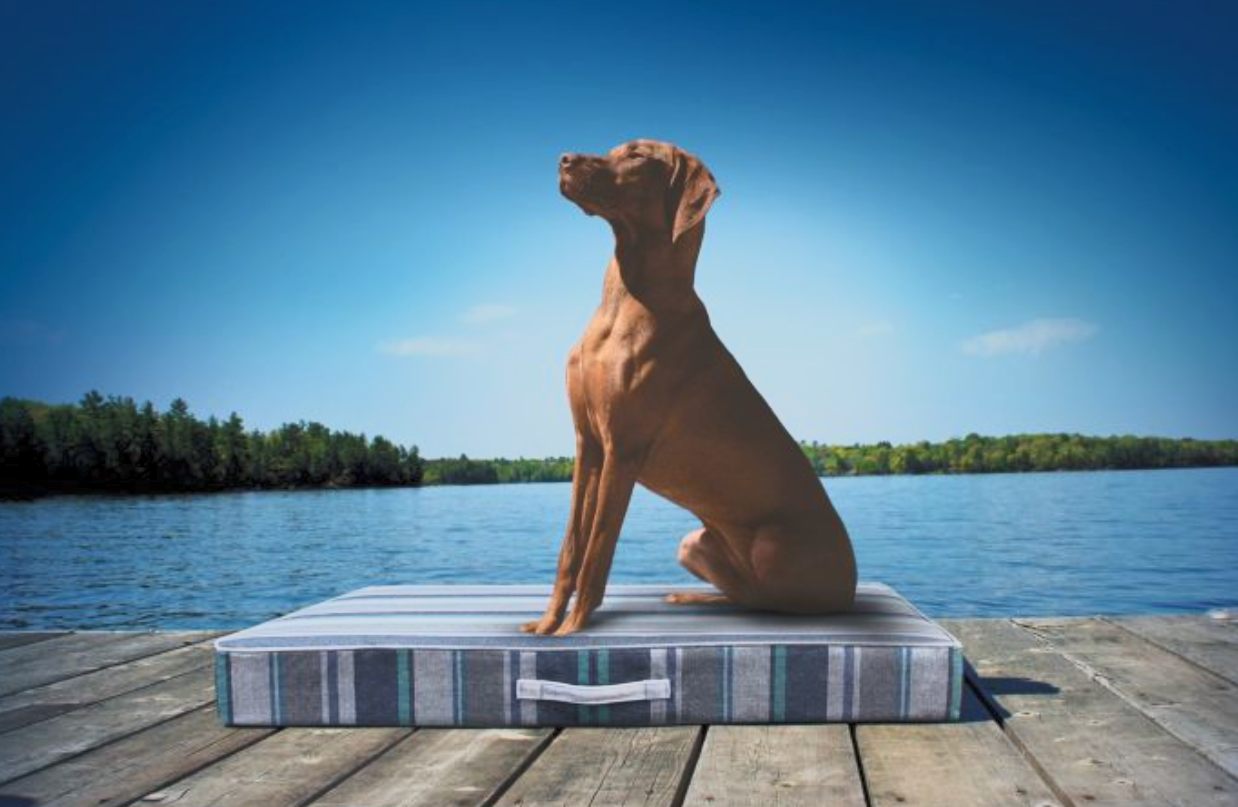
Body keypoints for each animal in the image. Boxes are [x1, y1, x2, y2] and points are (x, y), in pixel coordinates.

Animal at [517, 141, 856, 638]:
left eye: (637, 155)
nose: (564, 159)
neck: (624, 301)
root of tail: (852, 586)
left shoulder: (622, 450)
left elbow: (597, 552)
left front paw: (571, 630)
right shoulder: (588, 444)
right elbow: (571, 548)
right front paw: (545, 624)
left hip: (772, 548)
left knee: (780, 604)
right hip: (693, 540)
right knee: (752, 597)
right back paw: (693, 596)